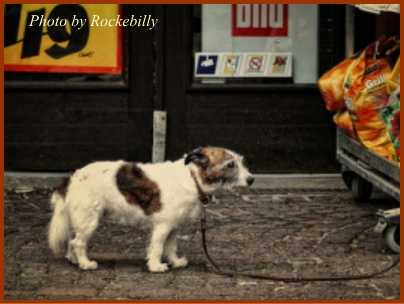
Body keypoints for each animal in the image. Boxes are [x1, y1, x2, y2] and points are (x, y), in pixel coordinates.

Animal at [49, 146, 254, 272]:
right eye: (230, 165)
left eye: (240, 162)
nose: (251, 179)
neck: (192, 178)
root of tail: (72, 177)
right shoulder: (162, 226)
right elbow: (157, 247)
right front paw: (156, 266)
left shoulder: (173, 227)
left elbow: (171, 246)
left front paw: (175, 262)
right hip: (89, 220)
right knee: (78, 242)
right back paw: (85, 263)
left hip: (81, 219)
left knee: (72, 240)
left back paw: (74, 260)